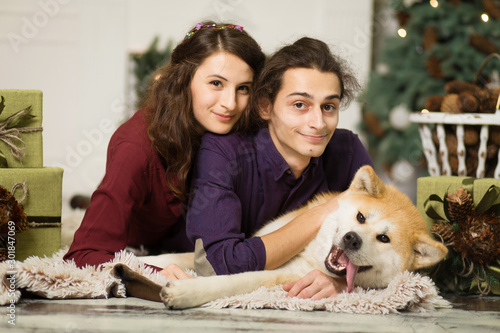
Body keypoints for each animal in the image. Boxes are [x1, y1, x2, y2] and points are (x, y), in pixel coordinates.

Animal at [142, 166, 450, 308]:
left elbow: (232, 282)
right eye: (361, 217)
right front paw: (141, 258)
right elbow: (179, 256)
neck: (311, 253)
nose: (352, 239)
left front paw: (185, 291)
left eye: (384, 239)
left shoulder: (280, 275)